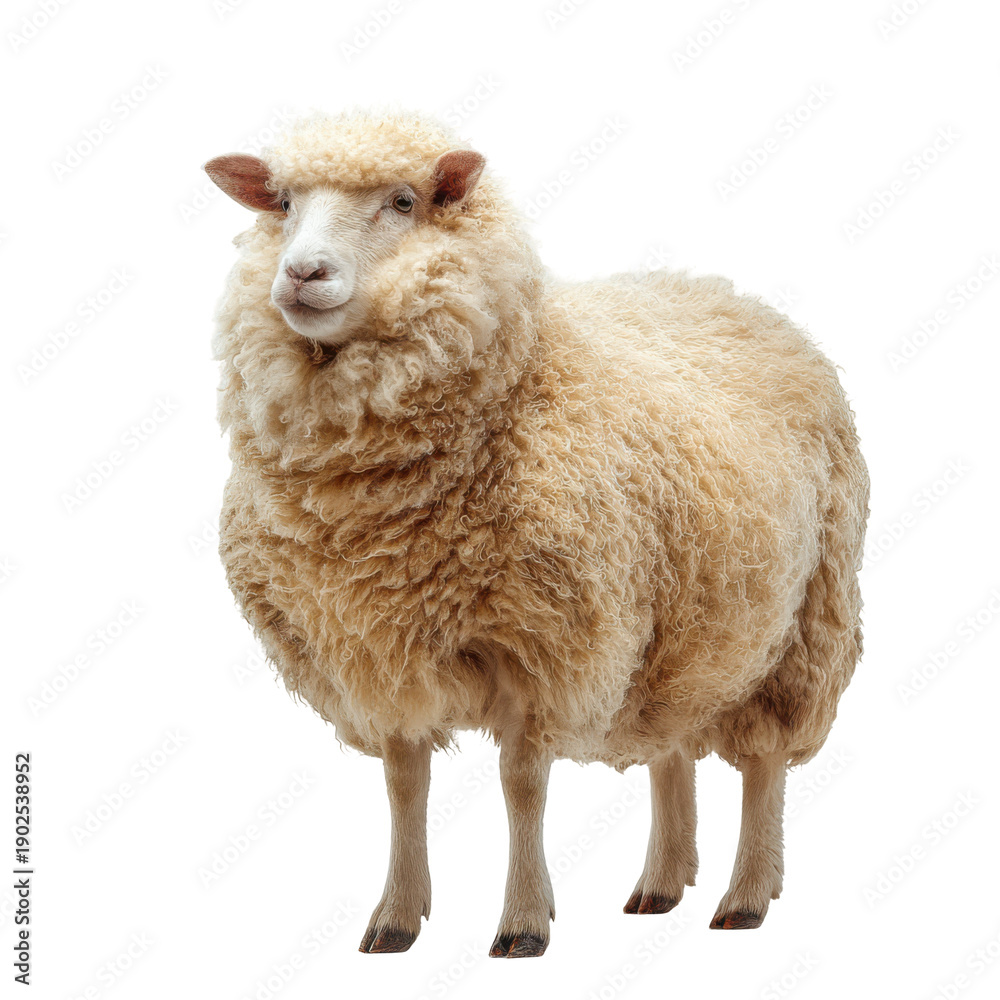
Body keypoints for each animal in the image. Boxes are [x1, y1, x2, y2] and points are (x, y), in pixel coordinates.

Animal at [205, 109, 869, 958]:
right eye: (283, 203)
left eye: (402, 201)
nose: (300, 273)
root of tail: (730, 295)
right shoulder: (382, 648)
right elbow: (402, 783)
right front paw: (396, 917)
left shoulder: (544, 645)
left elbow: (522, 786)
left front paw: (523, 921)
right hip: (682, 623)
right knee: (672, 746)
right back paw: (662, 881)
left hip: (804, 624)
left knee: (765, 764)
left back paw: (745, 895)